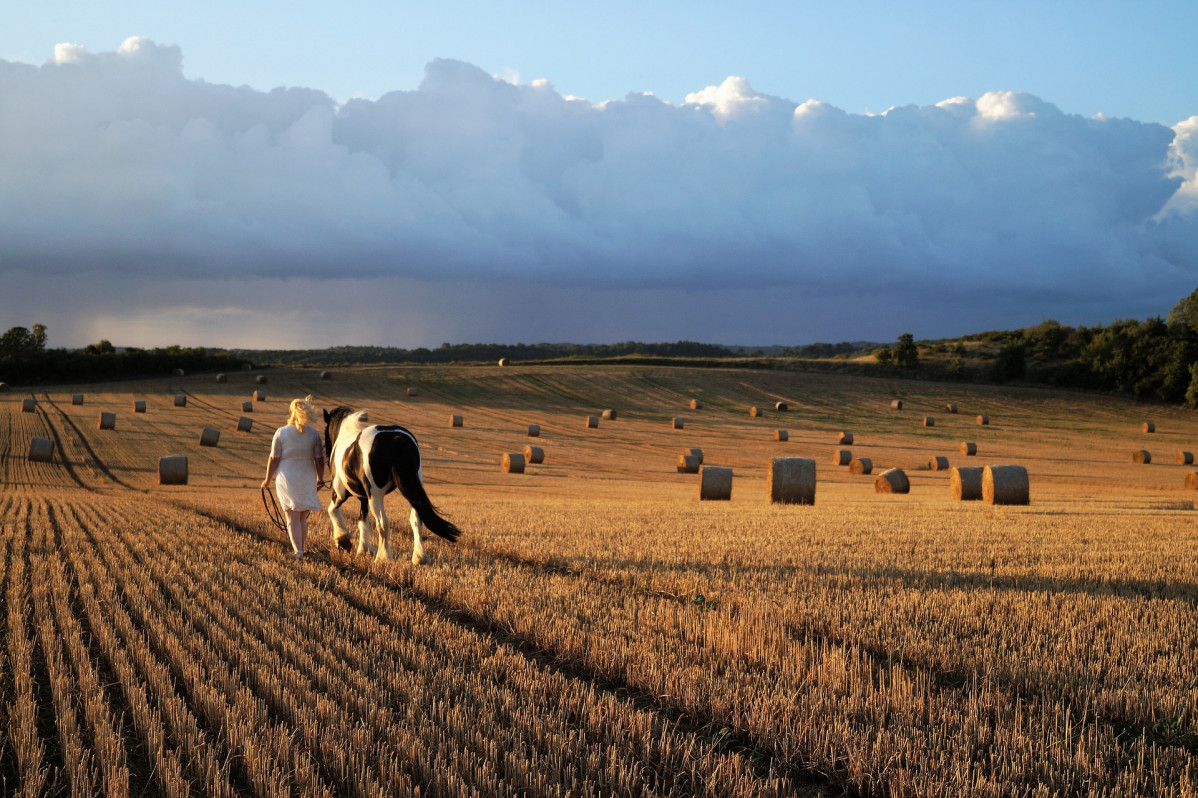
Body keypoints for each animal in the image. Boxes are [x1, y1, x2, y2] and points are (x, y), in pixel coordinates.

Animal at [323, 407, 462, 563]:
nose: (326, 458)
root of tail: (395, 439)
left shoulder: (340, 493)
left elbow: (332, 511)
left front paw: (343, 540)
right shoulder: (363, 498)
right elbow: (362, 521)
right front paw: (362, 549)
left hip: (375, 495)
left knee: (382, 522)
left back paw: (383, 558)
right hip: (411, 489)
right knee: (416, 519)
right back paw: (419, 557)